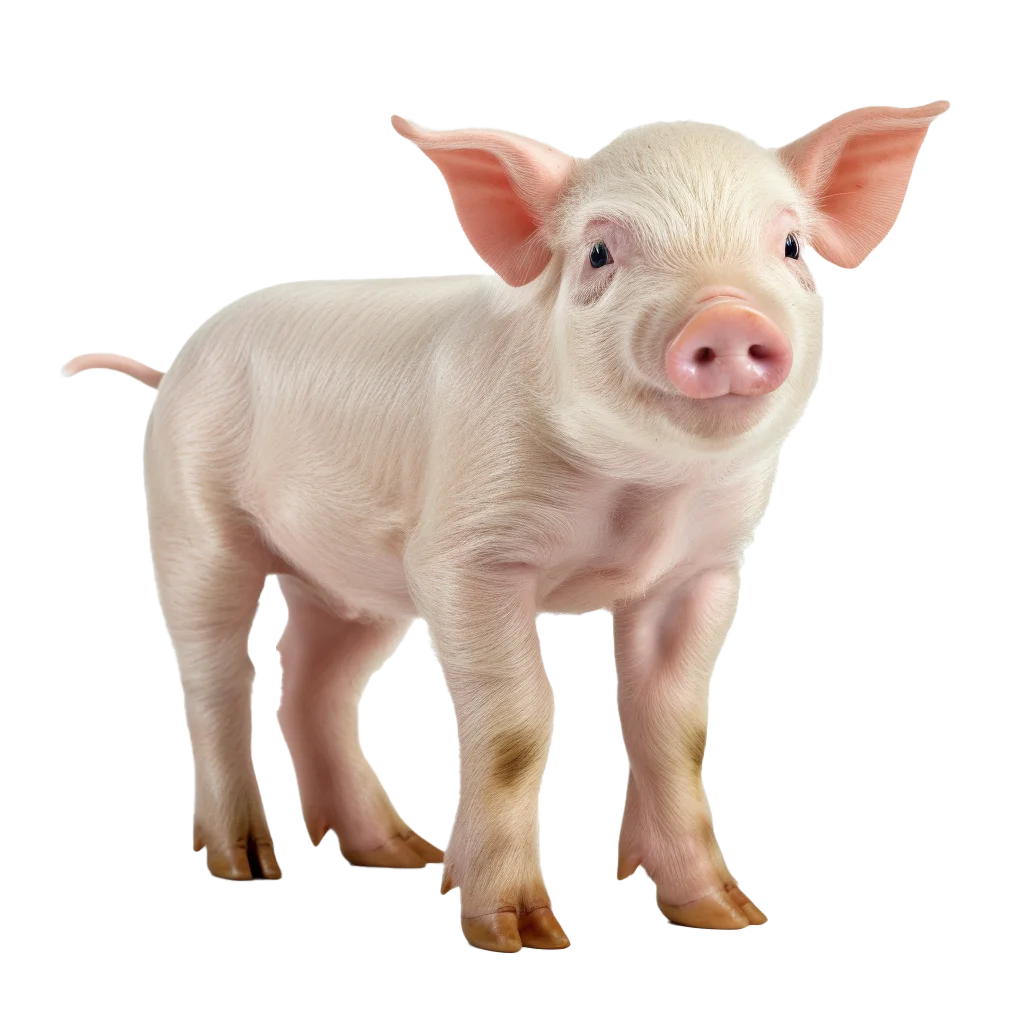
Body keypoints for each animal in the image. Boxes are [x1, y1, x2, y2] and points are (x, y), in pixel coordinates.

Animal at [62, 103, 948, 950]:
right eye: (600, 253)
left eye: (792, 246)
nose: (725, 318)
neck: (638, 495)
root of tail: (175, 364)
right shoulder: (464, 556)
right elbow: (520, 721)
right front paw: (519, 934)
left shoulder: (702, 570)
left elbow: (675, 725)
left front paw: (727, 915)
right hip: (192, 518)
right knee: (216, 675)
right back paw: (249, 865)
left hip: (356, 583)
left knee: (311, 681)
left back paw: (398, 853)